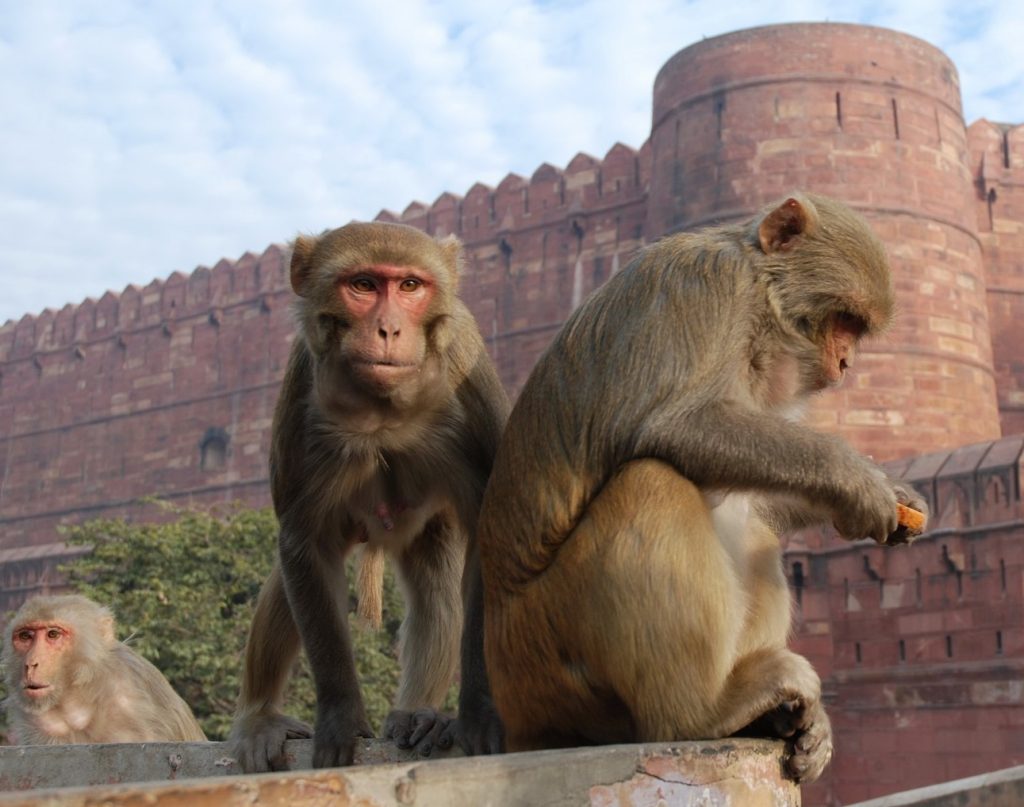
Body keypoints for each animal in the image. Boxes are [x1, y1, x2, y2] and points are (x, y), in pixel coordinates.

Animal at [229, 221, 510, 772]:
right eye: (363, 285)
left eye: (409, 286)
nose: (387, 329)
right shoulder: (301, 385)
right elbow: (303, 542)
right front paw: (339, 715)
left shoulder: (467, 369)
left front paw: (480, 712)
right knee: (290, 576)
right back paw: (260, 716)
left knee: (437, 590)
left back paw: (419, 714)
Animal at [478, 193, 928, 783]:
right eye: (843, 320)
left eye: (856, 329)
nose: (846, 363)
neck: (758, 301)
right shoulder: (705, 287)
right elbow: (674, 427)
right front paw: (856, 479)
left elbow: (755, 496)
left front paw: (891, 495)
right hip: (548, 662)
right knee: (652, 481)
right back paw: (701, 711)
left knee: (754, 531)